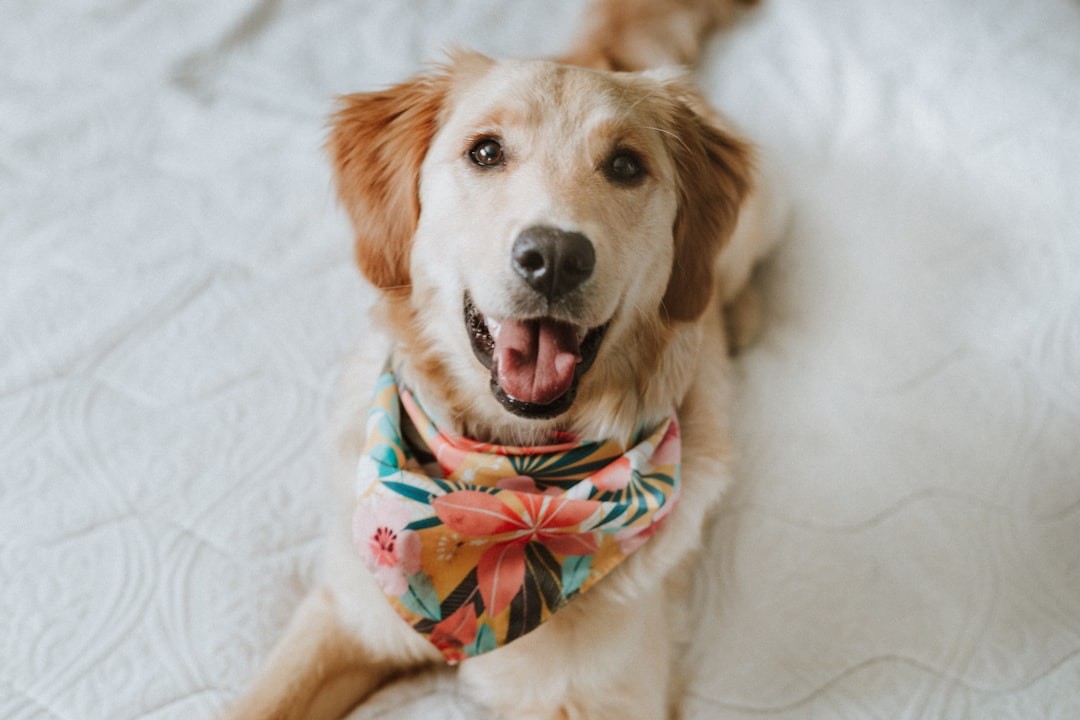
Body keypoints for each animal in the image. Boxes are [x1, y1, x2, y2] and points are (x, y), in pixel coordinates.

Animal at [227, 1, 768, 720]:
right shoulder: (345, 614)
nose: (556, 257)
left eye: (626, 166)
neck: (510, 482)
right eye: (485, 151)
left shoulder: (603, 699)